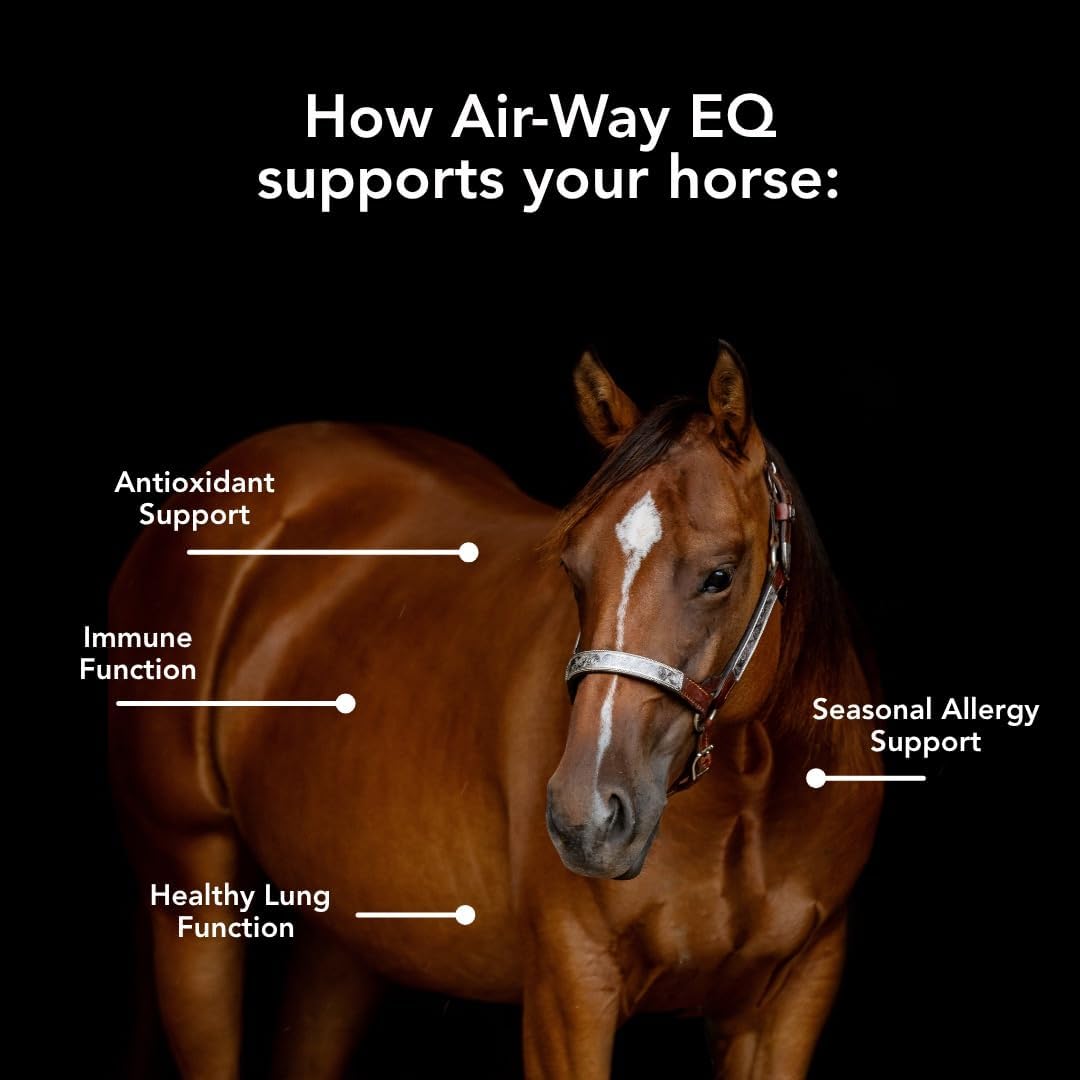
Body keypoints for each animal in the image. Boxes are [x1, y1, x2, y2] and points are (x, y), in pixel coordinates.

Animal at [109, 346, 882, 1078]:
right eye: (573, 568)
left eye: (720, 575)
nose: (585, 818)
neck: (749, 799)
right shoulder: (571, 993)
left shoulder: (791, 1001)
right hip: (192, 886)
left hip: (347, 937)